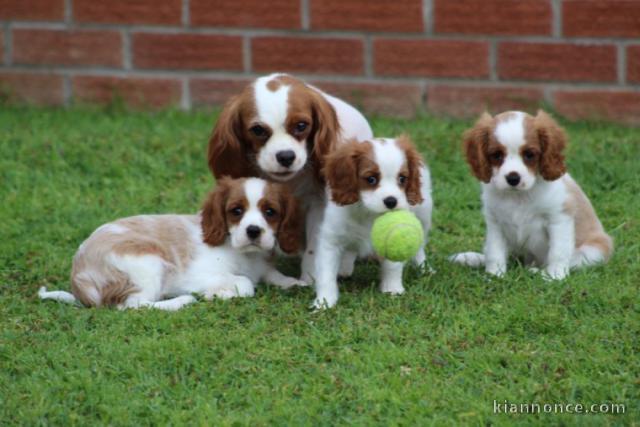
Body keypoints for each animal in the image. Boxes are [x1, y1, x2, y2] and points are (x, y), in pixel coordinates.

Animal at [38, 177, 306, 310]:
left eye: (270, 212)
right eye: (236, 211)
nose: (253, 231)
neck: (246, 253)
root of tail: (78, 284)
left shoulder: (262, 265)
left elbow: (271, 273)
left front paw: (294, 282)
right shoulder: (199, 274)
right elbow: (246, 283)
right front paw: (217, 294)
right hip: (148, 264)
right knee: (133, 305)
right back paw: (181, 301)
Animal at [312, 135, 432, 310]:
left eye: (402, 178)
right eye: (371, 179)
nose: (391, 201)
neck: (367, 212)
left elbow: (393, 264)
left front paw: (392, 289)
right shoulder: (331, 240)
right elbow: (326, 274)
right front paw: (324, 301)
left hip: (424, 214)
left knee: (420, 247)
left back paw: (424, 268)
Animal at [448, 111, 612, 280]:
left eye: (529, 154)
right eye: (497, 155)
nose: (513, 178)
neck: (519, 196)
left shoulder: (559, 219)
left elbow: (558, 252)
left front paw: (555, 276)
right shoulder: (495, 223)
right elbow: (494, 252)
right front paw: (494, 275)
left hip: (594, 251)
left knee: (572, 261)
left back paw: (537, 272)